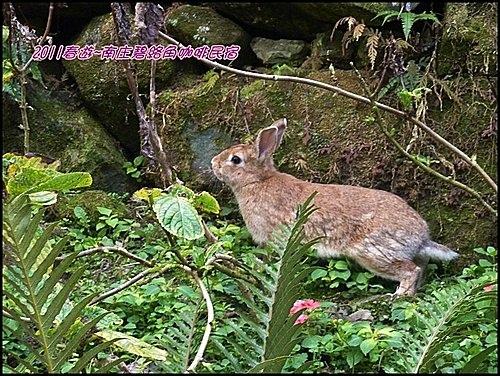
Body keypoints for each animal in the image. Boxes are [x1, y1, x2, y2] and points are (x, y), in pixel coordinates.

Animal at [209, 119, 458, 296]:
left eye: (235, 160)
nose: (213, 163)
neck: (258, 181)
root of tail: (421, 237)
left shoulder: (272, 238)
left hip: (374, 252)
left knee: (410, 270)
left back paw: (399, 295)